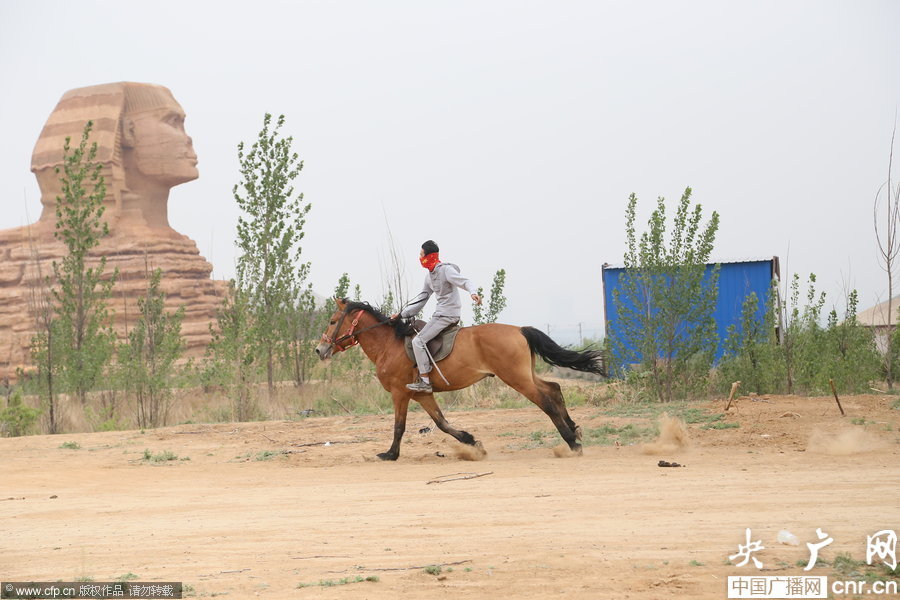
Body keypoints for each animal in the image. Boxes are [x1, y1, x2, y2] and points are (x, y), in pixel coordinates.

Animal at [316, 298, 604, 460]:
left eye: (332, 320)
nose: (319, 350)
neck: (390, 344)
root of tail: (519, 329)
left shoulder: (400, 393)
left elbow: (399, 426)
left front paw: (390, 454)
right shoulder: (422, 394)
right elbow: (442, 424)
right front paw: (472, 442)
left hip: (516, 378)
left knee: (546, 401)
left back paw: (571, 442)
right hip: (526, 374)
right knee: (554, 389)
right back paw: (574, 430)